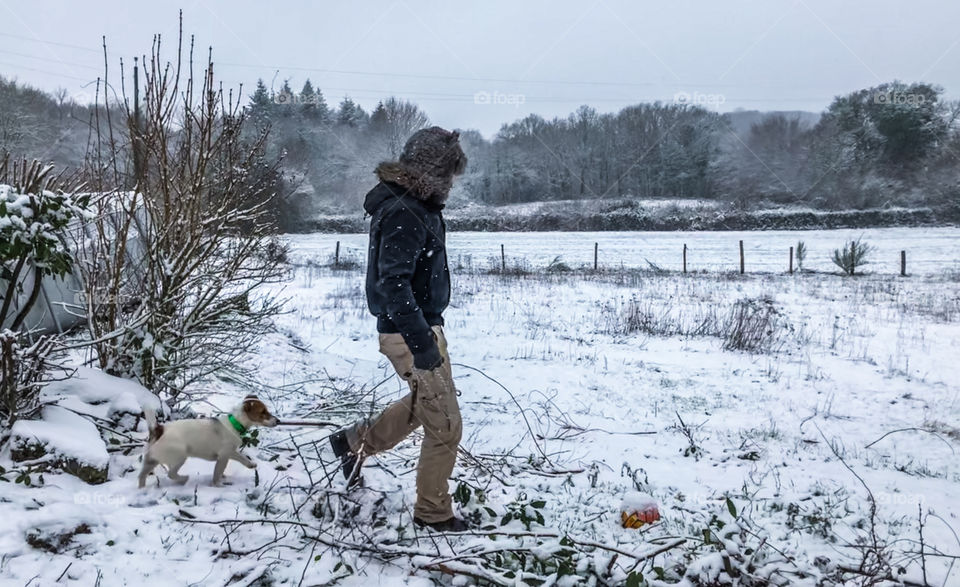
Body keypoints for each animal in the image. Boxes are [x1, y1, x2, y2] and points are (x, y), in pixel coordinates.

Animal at [139, 398, 282, 490]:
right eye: (263, 412)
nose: (278, 421)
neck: (234, 424)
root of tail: (159, 429)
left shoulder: (230, 452)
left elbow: (241, 457)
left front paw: (250, 464)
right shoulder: (223, 456)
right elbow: (217, 473)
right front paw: (217, 485)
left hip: (150, 461)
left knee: (141, 475)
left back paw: (142, 489)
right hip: (179, 457)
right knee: (171, 474)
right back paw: (184, 479)